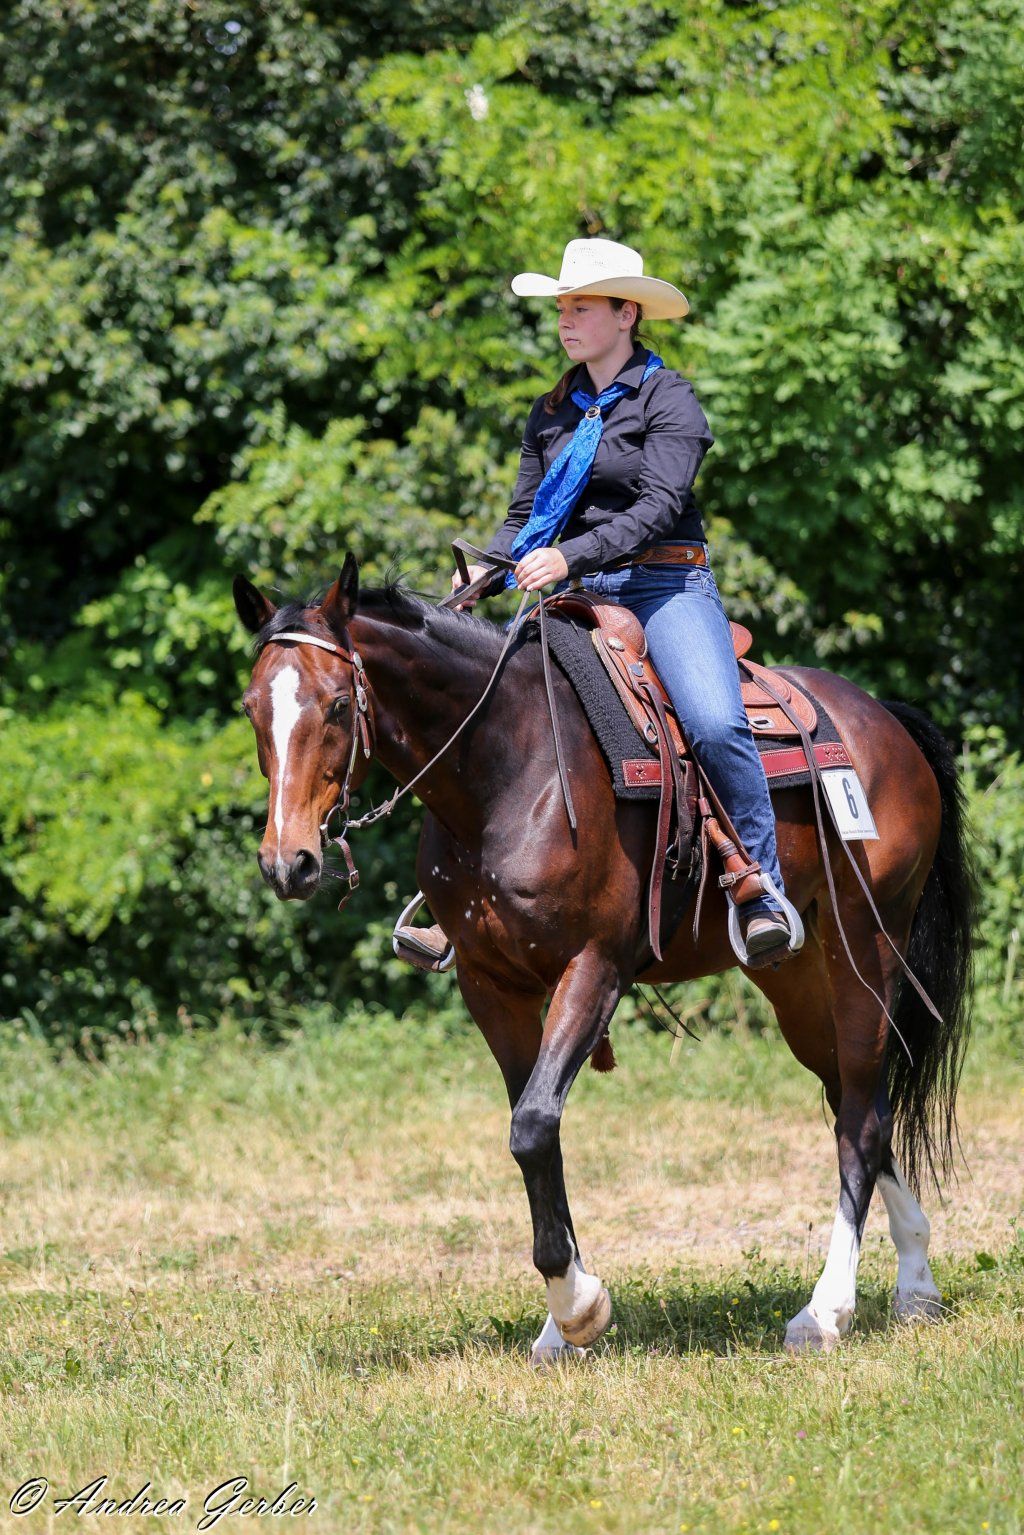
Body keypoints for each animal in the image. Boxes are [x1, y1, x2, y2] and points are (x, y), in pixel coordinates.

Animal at [232, 554, 975, 1363]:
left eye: (338, 704)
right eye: (251, 707)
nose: (288, 862)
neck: (508, 767)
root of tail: (887, 723)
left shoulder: (594, 968)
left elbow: (533, 1125)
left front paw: (579, 1306)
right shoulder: (490, 986)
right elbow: (535, 1129)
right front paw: (561, 1325)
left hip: (865, 950)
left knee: (863, 1120)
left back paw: (826, 1310)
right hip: (796, 983)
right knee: (856, 1099)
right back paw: (916, 1283)